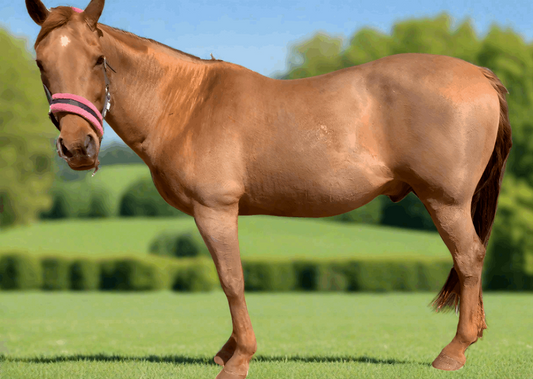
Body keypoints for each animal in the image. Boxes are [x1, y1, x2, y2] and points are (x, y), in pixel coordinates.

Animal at [25, 1, 512, 378]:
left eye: (97, 59)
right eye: (41, 63)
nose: (78, 147)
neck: (186, 104)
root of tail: (479, 75)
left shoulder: (215, 209)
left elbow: (231, 279)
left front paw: (238, 358)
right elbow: (233, 277)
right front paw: (228, 350)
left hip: (446, 202)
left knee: (469, 258)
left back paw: (454, 352)